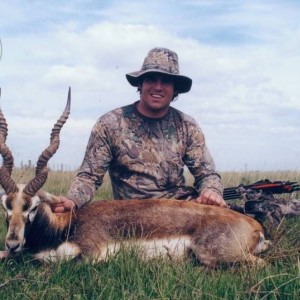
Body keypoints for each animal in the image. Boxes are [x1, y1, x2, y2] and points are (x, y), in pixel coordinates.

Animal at [0, 88, 270, 266]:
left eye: (33, 206)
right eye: (6, 205)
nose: (12, 243)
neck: (64, 226)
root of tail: (254, 225)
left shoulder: (92, 256)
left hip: (210, 253)